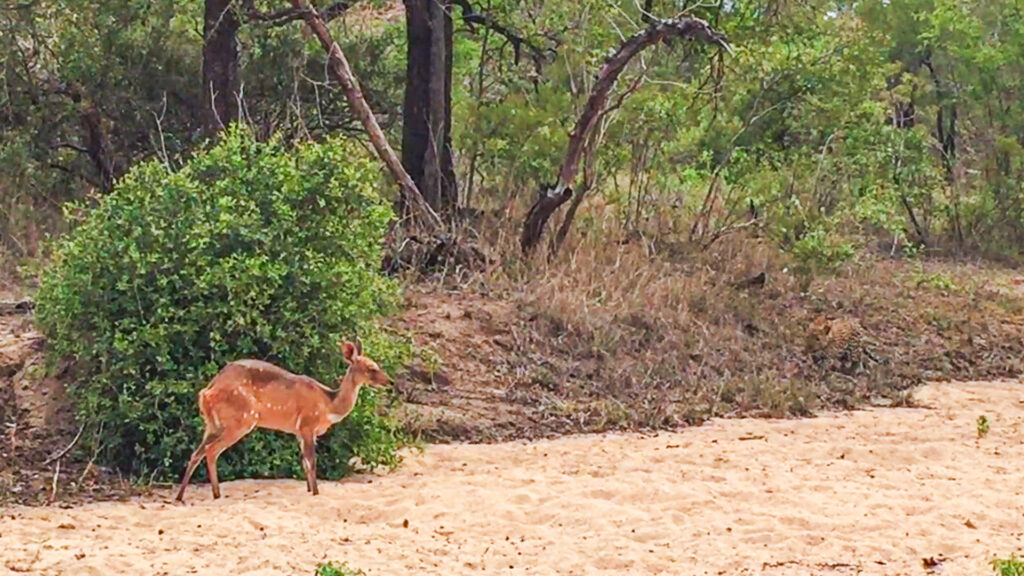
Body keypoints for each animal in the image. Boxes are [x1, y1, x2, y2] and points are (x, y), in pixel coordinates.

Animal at [174, 338, 389, 500]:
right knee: (211, 451)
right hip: (241, 420)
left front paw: (309, 491)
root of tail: (206, 392)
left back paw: (180, 496)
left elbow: (304, 462)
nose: (389, 381)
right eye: (371, 368)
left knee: (196, 452)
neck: (329, 404)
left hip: (212, 424)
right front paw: (316, 493)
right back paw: (216, 494)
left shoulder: (298, 431)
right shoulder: (307, 425)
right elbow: (312, 461)